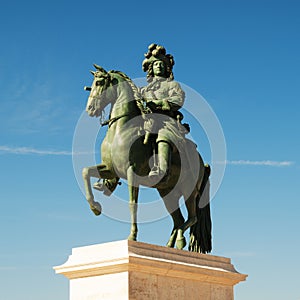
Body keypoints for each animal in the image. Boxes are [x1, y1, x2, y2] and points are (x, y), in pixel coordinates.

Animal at [82, 64, 212, 252]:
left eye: (99, 82)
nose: (90, 109)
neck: (121, 129)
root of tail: (203, 163)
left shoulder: (132, 172)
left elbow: (132, 205)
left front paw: (132, 236)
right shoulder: (110, 169)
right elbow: (85, 172)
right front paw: (95, 207)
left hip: (189, 190)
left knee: (191, 218)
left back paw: (180, 241)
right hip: (168, 193)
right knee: (179, 220)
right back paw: (169, 245)